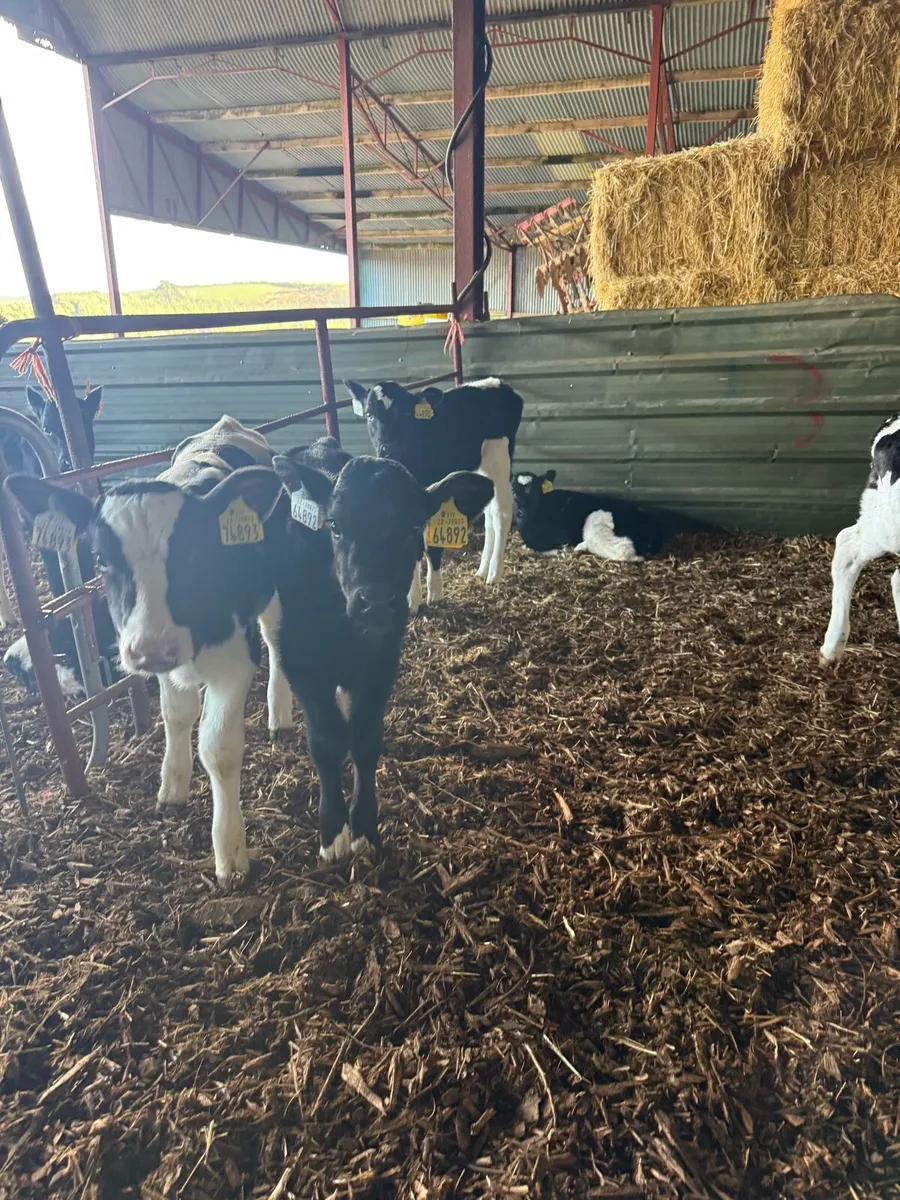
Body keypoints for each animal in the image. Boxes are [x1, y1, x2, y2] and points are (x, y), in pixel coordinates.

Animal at [345, 377, 523, 612]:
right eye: (369, 414)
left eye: (406, 414)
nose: (390, 449)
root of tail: (498, 383)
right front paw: (411, 600)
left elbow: (430, 544)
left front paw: (434, 594)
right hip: (481, 467)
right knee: (490, 515)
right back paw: (483, 569)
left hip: (499, 456)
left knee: (502, 513)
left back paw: (494, 573)